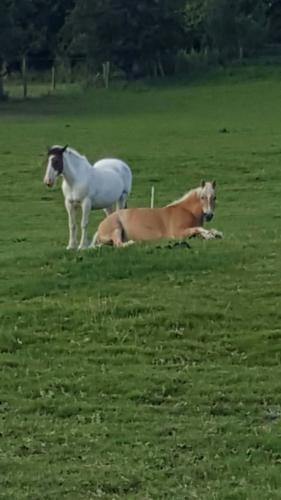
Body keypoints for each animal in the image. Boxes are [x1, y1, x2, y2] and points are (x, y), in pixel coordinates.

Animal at [93, 182, 222, 248]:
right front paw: (209, 235)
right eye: (202, 197)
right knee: (118, 244)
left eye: (215, 197)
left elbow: (204, 230)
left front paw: (213, 234)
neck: (186, 211)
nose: (209, 215)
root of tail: (100, 227)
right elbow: (198, 229)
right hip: (116, 229)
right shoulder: (178, 233)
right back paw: (132, 243)